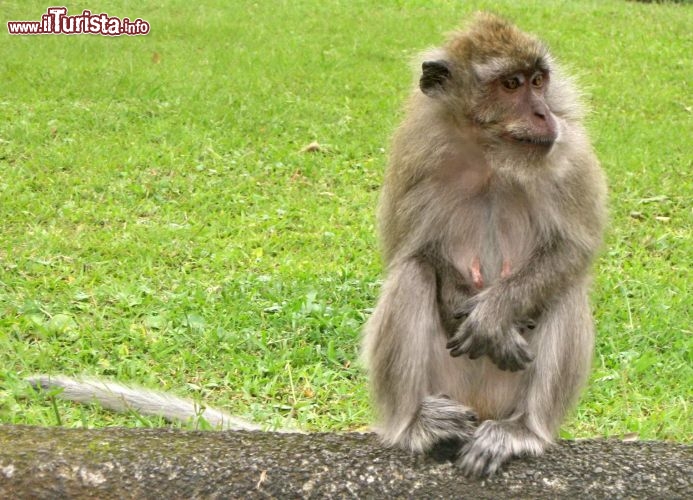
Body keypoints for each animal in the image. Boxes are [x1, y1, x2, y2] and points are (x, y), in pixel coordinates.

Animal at [362, 12, 604, 476]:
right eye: (510, 84)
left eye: (538, 81)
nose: (543, 112)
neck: (490, 154)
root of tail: (481, 405)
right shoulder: (414, 155)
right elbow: (407, 250)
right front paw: (461, 300)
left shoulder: (570, 151)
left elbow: (572, 249)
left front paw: (494, 316)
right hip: (446, 384)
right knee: (412, 275)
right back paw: (417, 423)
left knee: (566, 289)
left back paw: (523, 430)